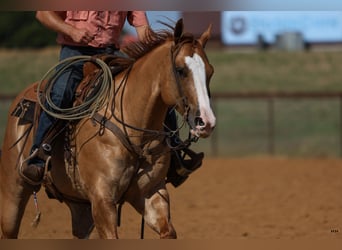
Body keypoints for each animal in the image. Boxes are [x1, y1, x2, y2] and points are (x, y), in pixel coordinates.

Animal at [0, 19, 214, 238]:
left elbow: (168, 231)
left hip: (80, 206)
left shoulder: (152, 194)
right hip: (13, 195)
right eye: (180, 70)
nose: (206, 121)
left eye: (210, 71)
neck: (134, 135)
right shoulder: (102, 201)